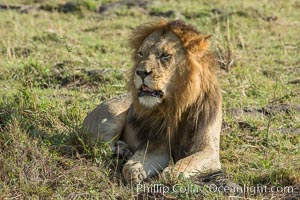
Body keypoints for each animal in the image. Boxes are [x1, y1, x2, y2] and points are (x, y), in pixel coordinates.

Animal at [82, 19, 223, 184]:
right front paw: (136, 170)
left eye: (165, 55)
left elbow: (186, 163)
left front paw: (170, 173)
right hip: (110, 119)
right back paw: (124, 151)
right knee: (100, 146)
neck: (177, 106)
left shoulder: (209, 150)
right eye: (141, 53)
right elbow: (130, 166)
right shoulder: (156, 144)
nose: (141, 72)